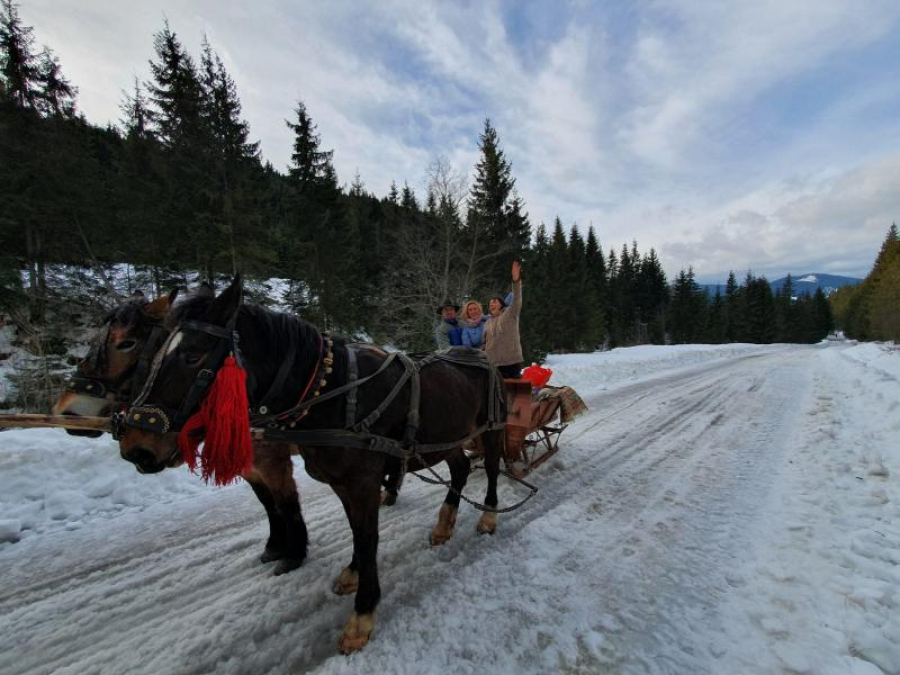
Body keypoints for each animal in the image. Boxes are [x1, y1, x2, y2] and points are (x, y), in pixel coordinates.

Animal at [50, 286, 310, 576]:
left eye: (127, 343)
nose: (67, 410)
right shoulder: (249, 464)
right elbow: (267, 502)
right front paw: (275, 547)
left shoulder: (273, 461)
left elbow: (285, 504)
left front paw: (294, 554)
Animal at [116, 276, 506, 656]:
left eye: (193, 355)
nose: (137, 447)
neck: (331, 392)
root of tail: (482, 356)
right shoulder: (341, 483)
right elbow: (355, 532)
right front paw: (352, 573)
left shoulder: (363, 482)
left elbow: (367, 537)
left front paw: (362, 616)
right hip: (451, 437)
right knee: (459, 469)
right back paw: (444, 524)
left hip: (492, 430)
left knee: (492, 470)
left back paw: (488, 516)